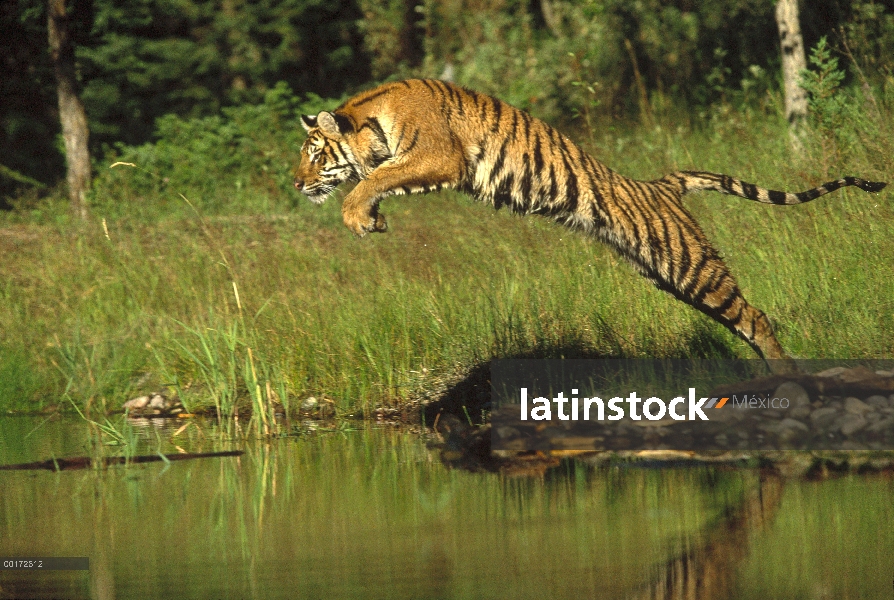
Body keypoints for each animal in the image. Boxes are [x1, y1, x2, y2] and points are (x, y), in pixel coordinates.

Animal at [296, 77, 888, 368]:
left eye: (314, 154)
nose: (297, 184)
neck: (372, 118)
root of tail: (662, 183)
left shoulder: (440, 156)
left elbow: (374, 178)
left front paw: (358, 216)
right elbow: (378, 180)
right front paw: (373, 221)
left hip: (693, 267)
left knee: (757, 317)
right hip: (674, 278)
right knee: (743, 319)